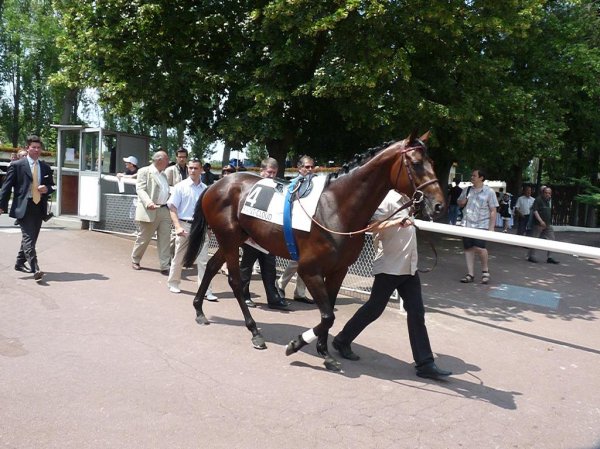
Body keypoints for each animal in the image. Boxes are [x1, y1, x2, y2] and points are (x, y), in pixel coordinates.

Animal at [184, 131, 446, 370]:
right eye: (416, 163)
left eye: (432, 162)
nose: (439, 205)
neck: (335, 207)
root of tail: (216, 184)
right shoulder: (309, 269)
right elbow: (328, 315)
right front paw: (297, 343)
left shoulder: (338, 270)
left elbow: (328, 313)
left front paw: (324, 351)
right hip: (229, 239)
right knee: (236, 282)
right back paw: (255, 332)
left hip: (235, 239)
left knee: (211, 266)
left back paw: (199, 310)